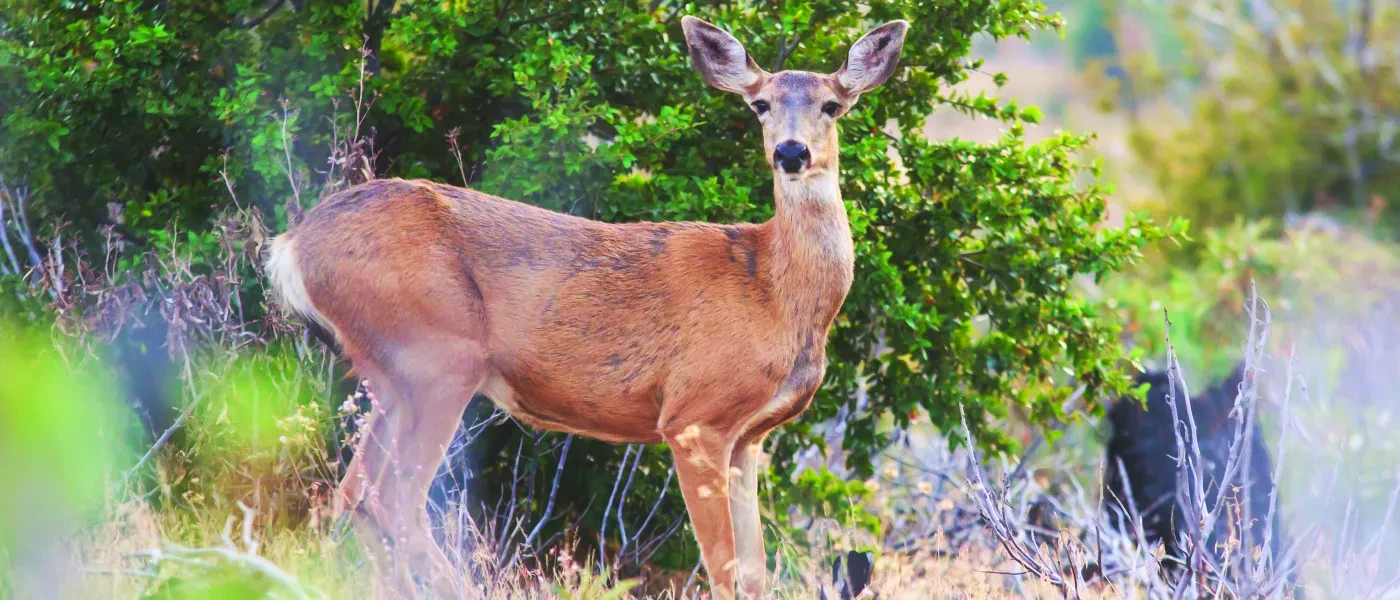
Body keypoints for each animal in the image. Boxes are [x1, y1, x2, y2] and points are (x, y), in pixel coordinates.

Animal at [264, 15, 907, 598]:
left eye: (832, 105)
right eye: (760, 105)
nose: (791, 152)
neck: (773, 290)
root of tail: (292, 245)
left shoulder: (750, 436)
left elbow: (754, 573)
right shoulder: (694, 414)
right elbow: (723, 569)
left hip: (394, 377)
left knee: (354, 494)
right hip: (437, 358)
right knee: (393, 500)